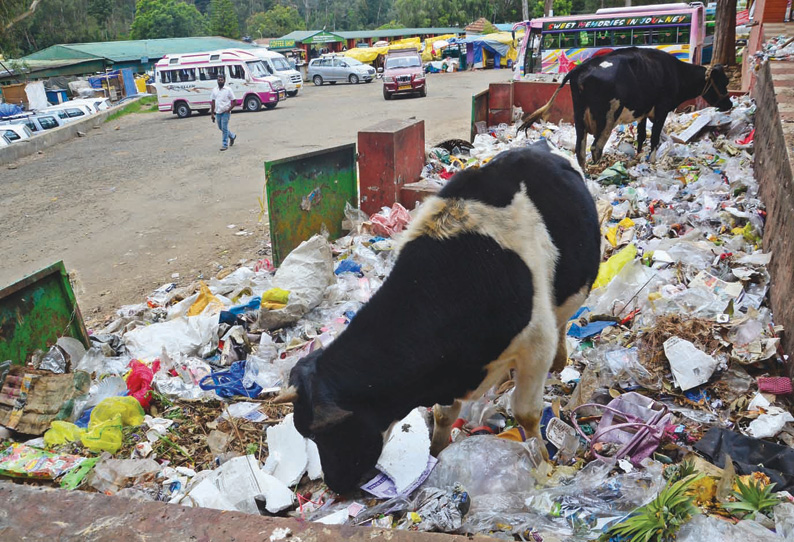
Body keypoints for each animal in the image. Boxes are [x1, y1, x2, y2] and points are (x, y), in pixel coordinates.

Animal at [270, 141, 596, 498]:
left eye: (324, 433)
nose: (335, 484)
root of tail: (537, 148)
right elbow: (443, 414)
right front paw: (438, 453)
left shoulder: (536, 344)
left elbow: (526, 412)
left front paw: (540, 459)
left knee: (562, 322)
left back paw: (558, 360)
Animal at [520, 49, 732, 172]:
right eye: (724, 81)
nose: (730, 104)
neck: (675, 73)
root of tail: (582, 67)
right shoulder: (661, 109)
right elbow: (654, 138)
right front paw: (651, 161)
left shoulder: (643, 112)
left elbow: (641, 135)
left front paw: (638, 156)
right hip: (608, 117)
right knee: (596, 147)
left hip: (579, 116)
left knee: (580, 149)